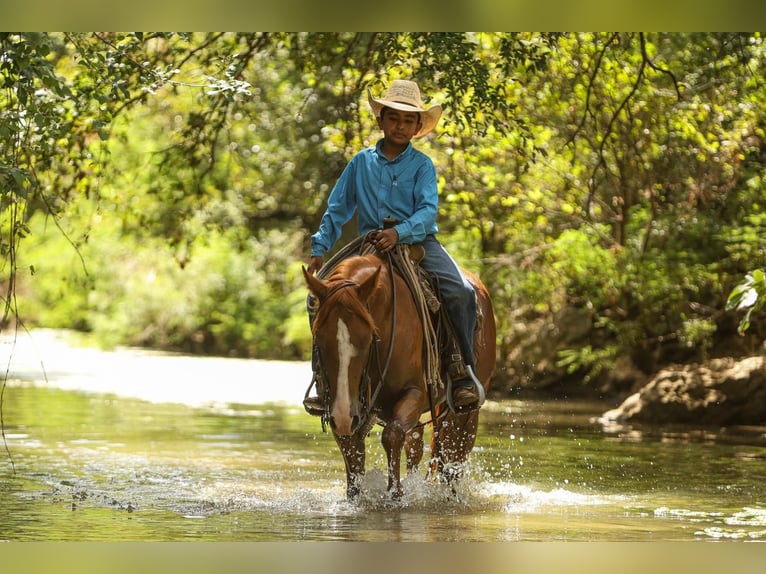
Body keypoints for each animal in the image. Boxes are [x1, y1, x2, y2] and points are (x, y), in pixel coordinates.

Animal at [304, 250, 496, 502]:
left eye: (368, 338)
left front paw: (396, 493)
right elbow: (351, 446)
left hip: (466, 410)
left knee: (455, 451)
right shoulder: (341, 407)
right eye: (319, 339)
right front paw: (356, 496)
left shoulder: (414, 393)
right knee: (417, 447)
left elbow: (392, 435)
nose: (344, 415)